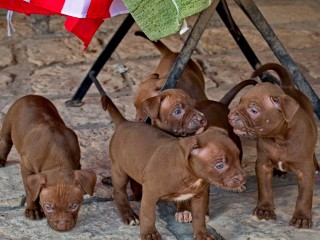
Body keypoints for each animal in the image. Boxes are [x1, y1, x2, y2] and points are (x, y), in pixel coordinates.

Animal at [0, 94, 96, 232]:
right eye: (48, 207)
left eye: (74, 206)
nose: (62, 227)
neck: (56, 157)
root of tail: (31, 95)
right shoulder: (26, 167)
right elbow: (30, 191)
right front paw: (33, 209)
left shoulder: (77, 163)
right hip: (8, 123)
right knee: (5, 142)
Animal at [229, 63, 318, 229]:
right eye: (239, 102)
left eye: (254, 110)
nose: (230, 116)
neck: (279, 139)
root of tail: (288, 87)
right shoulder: (263, 165)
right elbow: (265, 189)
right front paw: (264, 209)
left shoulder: (305, 171)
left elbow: (304, 196)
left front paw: (301, 218)